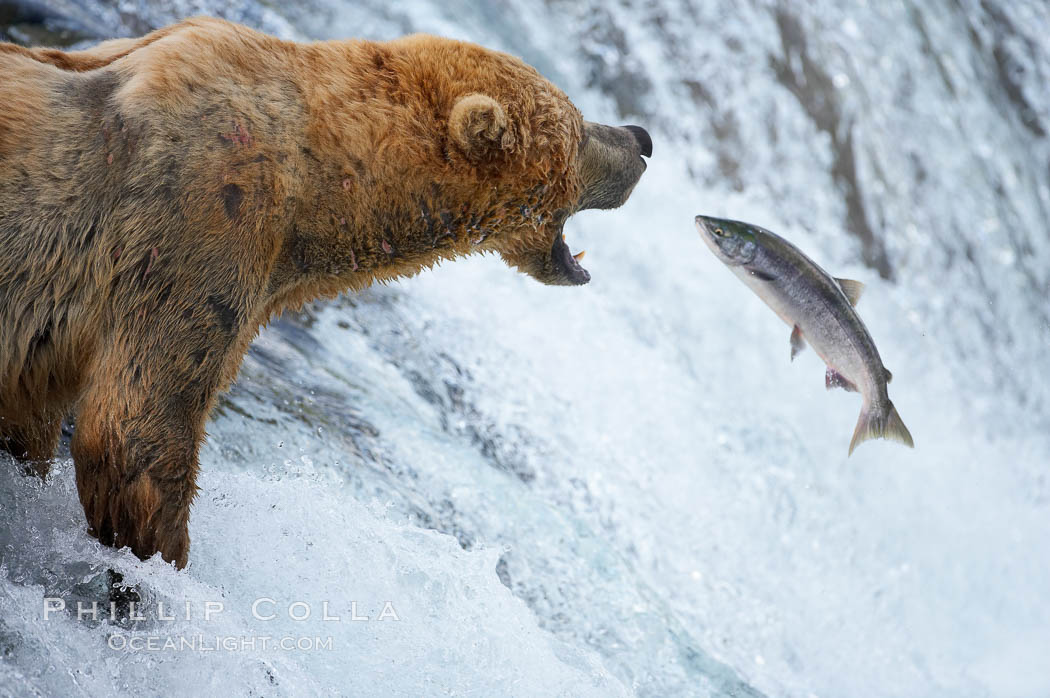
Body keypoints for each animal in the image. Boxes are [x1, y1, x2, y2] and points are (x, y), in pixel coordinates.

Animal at [0, 17, 651, 566]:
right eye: (579, 127)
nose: (641, 138)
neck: (316, 195)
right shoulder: (199, 222)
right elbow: (135, 429)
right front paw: (158, 571)